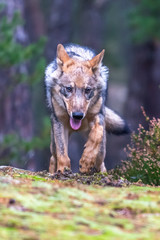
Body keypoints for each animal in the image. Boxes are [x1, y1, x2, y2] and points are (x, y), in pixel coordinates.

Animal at [44, 43, 129, 174]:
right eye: (69, 89)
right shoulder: (59, 121)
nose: (78, 115)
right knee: (54, 157)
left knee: (100, 162)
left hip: (102, 151)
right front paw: (63, 170)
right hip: (54, 142)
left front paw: (86, 161)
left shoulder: (98, 115)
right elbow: (62, 153)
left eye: (87, 90)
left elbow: (97, 134)